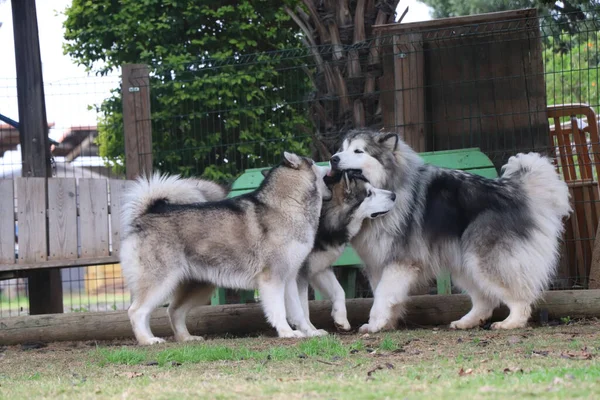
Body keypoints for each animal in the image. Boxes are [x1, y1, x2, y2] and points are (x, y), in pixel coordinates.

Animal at [119, 152, 330, 346]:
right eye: (313, 161)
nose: (331, 160)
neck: (288, 205)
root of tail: (148, 212)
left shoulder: (289, 278)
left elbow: (299, 312)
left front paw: (310, 331)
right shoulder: (272, 279)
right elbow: (278, 310)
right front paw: (287, 332)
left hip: (198, 286)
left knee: (174, 310)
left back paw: (186, 337)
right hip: (161, 282)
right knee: (136, 311)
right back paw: (148, 339)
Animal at [330, 128, 568, 332]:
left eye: (358, 151)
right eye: (341, 149)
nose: (333, 158)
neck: (391, 187)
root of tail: (511, 190)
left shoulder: (400, 262)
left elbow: (382, 294)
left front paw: (375, 324)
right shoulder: (378, 263)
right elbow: (384, 295)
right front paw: (385, 323)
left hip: (484, 260)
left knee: (519, 297)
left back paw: (511, 322)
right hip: (465, 262)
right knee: (485, 300)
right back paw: (467, 322)